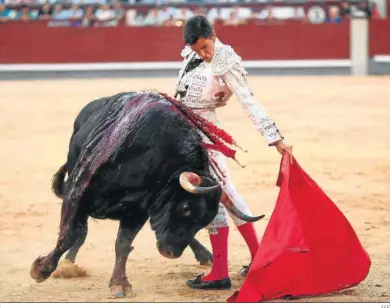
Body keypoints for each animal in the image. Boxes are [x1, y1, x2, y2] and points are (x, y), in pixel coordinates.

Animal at [29, 91, 262, 296]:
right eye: (186, 208)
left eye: (205, 221)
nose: (171, 253)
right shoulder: (77, 191)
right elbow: (70, 233)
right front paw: (41, 270)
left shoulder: (137, 210)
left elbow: (122, 244)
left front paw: (120, 284)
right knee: (80, 231)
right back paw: (67, 264)